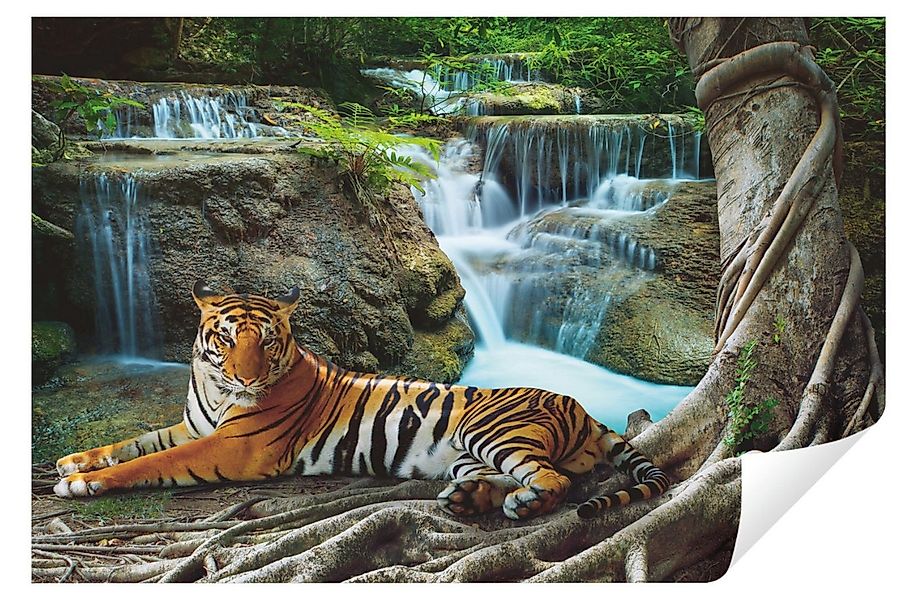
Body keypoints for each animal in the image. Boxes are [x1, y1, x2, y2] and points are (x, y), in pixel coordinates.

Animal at [53, 281, 670, 520]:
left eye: (266, 341)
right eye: (226, 339)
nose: (247, 378)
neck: (213, 386)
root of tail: (582, 408)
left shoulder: (232, 448)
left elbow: (152, 461)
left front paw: (85, 483)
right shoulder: (194, 426)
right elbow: (136, 442)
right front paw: (74, 461)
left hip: (491, 430)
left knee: (553, 481)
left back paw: (520, 504)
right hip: (469, 452)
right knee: (510, 478)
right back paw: (467, 499)